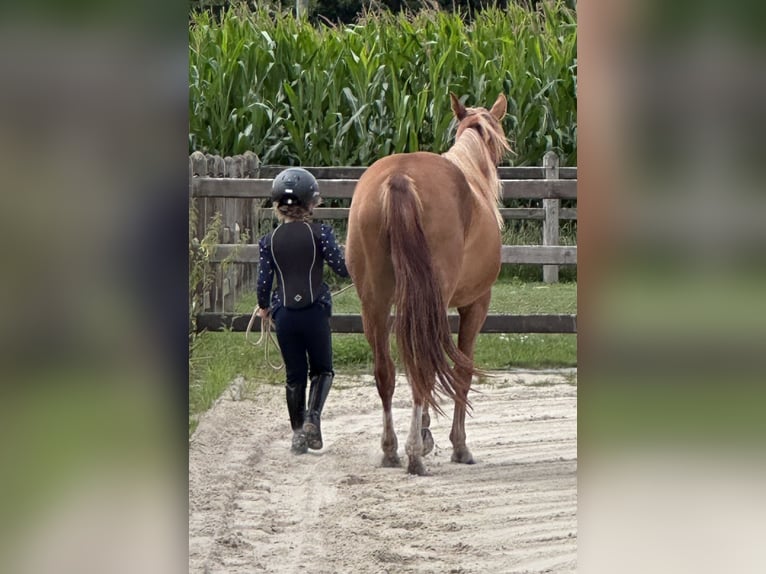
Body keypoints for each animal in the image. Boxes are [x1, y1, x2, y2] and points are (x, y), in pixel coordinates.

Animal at [345, 93, 510, 475]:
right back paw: (415, 454)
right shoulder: (475, 304)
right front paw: (457, 445)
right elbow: (462, 370)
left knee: (387, 372)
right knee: (421, 367)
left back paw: (391, 450)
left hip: (374, 304)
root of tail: (399, 178)